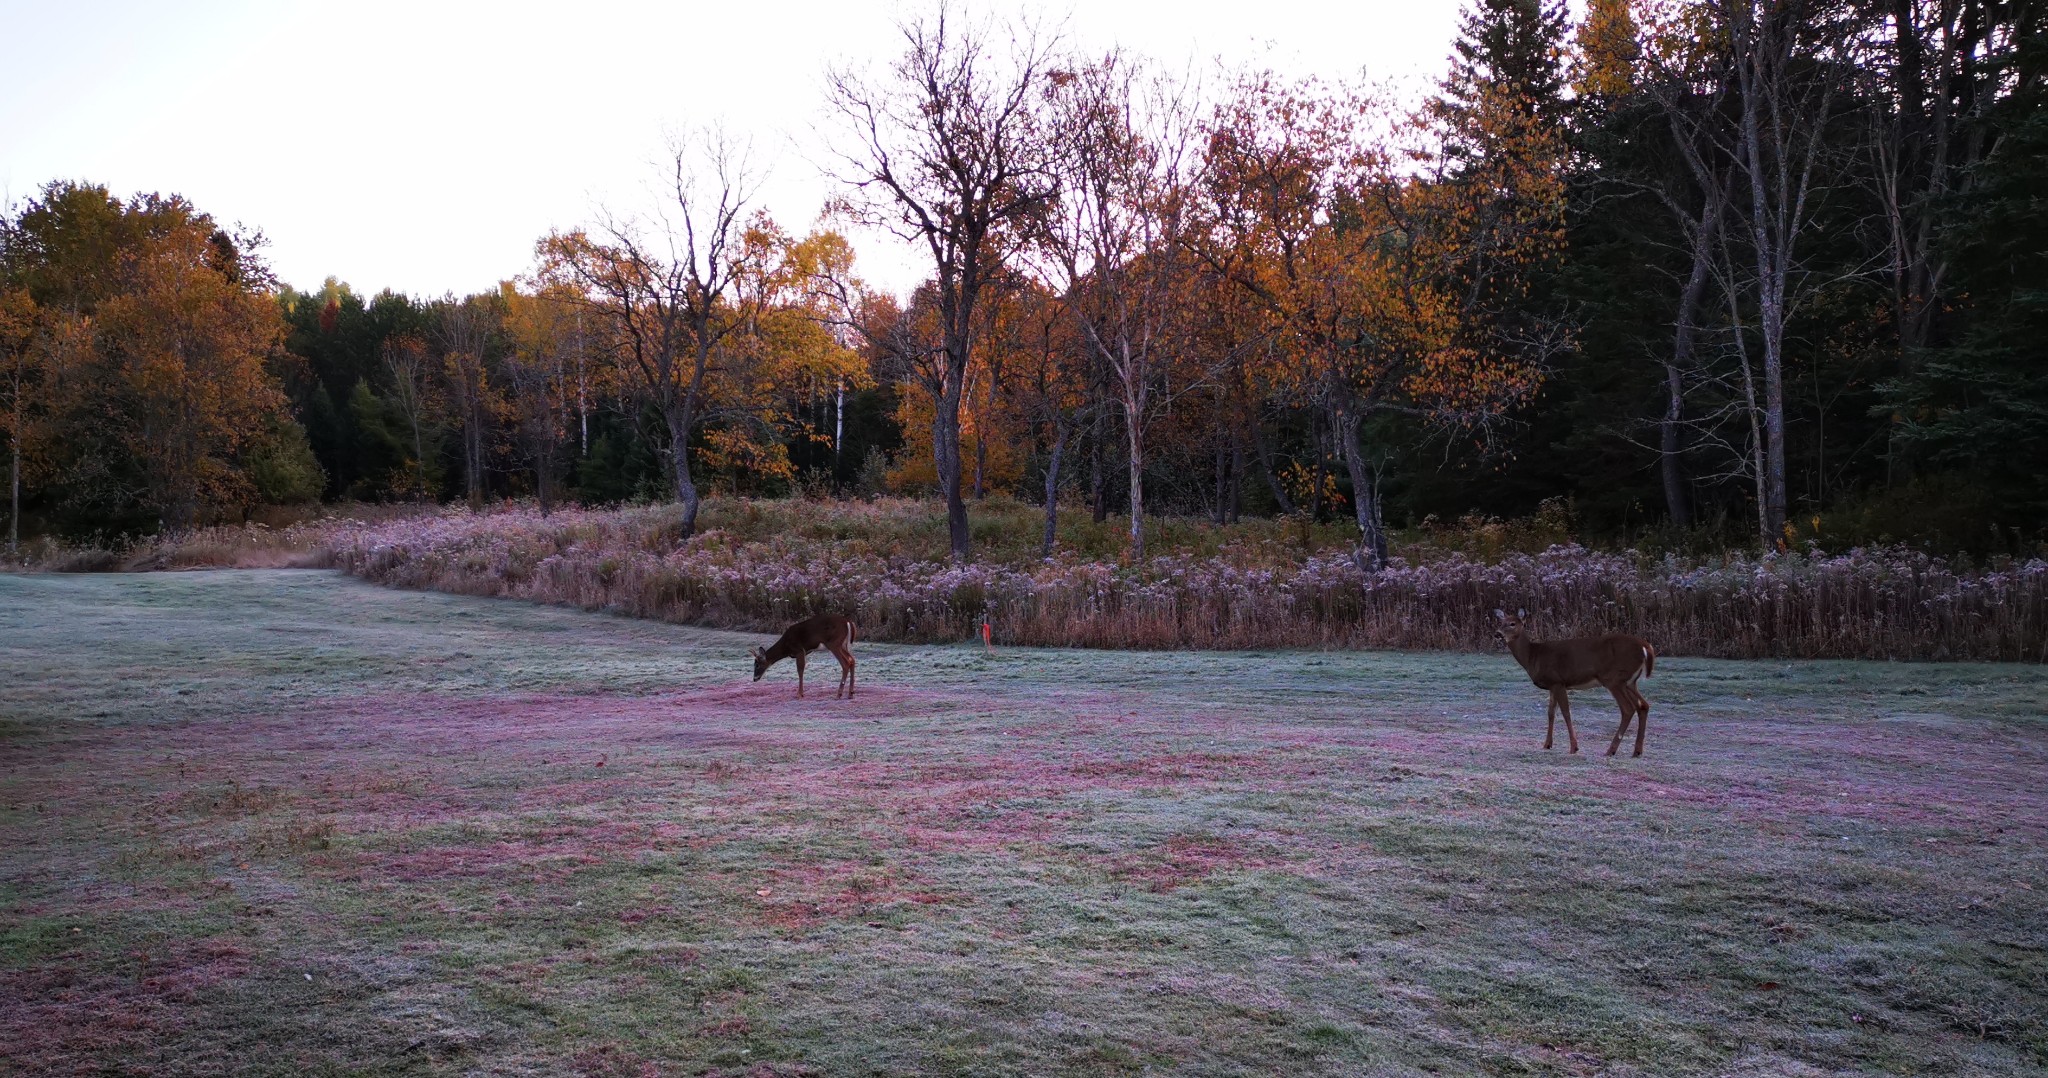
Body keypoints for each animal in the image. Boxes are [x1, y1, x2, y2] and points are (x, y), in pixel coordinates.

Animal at [1499, 606, 1654, 762]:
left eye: (1512, 623)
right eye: (1500, 622)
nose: (1497, 634)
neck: (1533, 657)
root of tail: (1645, 646)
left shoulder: (1558, 681)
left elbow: (1566, 712)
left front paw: (1574, 747)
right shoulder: (1552, 685)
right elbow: (1550, 713)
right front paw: (1547, 744)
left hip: (1613, 678)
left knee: (1628, 708)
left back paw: (1611, 750)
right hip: (1630, 682)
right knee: (1643, 706)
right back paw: (1637, 751)